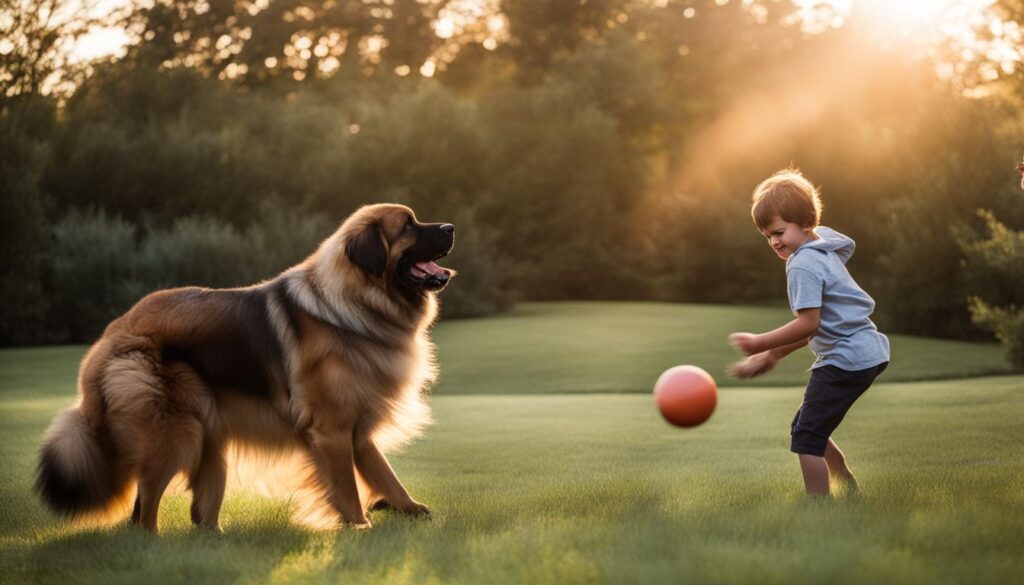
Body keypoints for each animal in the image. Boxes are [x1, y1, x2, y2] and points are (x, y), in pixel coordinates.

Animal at [36, 203, 454, 532]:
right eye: (408, 226)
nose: (450, 227)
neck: (357, 302)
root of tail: (109, 336)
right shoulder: (332, 431)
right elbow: (347, 486)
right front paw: (359, 526)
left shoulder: (357, 429)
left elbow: (385, 473)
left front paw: (408, 509)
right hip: (175, 434)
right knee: (144, 509)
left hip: (210, 438)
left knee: (197, 513)